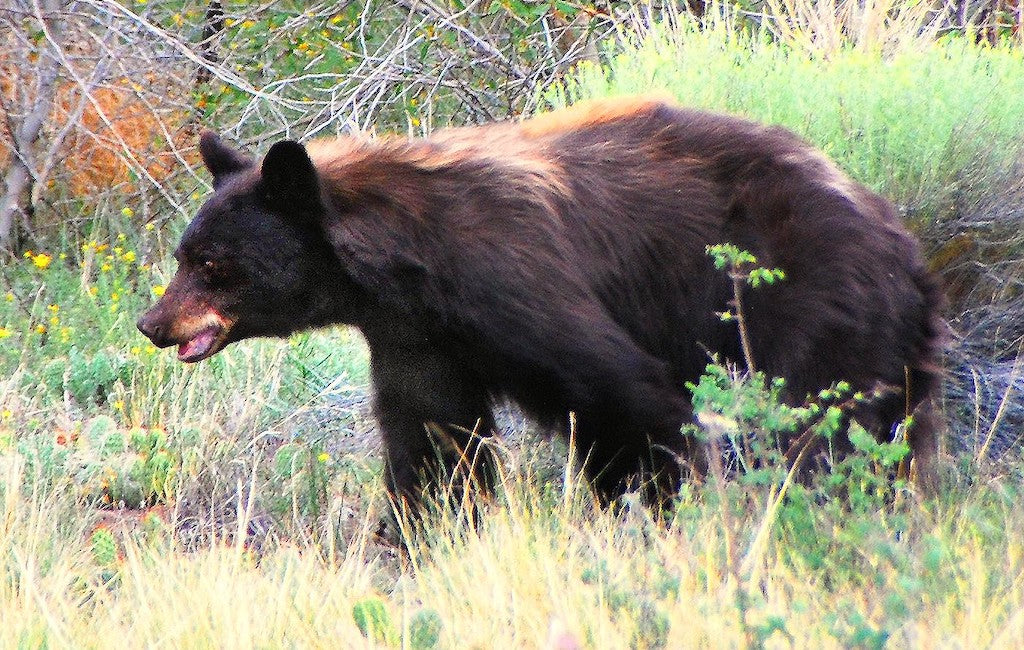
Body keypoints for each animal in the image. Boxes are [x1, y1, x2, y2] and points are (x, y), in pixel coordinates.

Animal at [136, 96, 942, 505]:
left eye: (212, 264)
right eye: (183, 255)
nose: (151, 323)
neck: (410, 263)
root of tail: (896, 230)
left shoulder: (516, 279)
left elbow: (623, 394)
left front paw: (656, 507)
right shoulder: (417, 336)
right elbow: (432, 438)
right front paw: (428, 530)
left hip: (810, 289)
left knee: (828, 411)